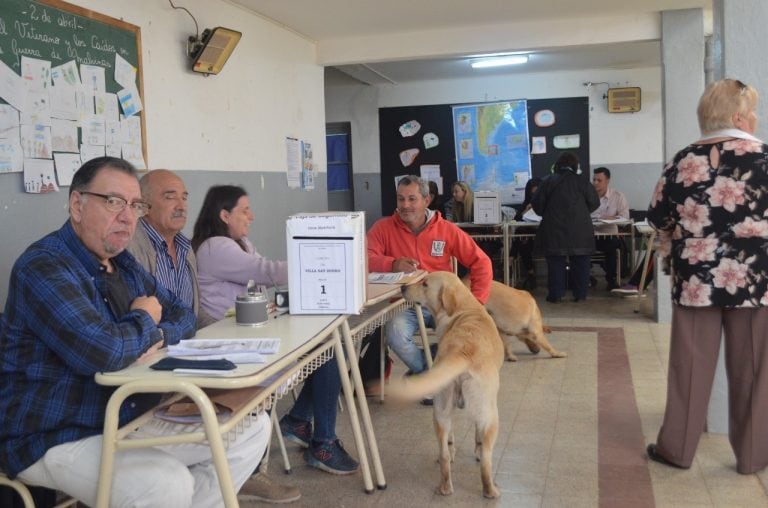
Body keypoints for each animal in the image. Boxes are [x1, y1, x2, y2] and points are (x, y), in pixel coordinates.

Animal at [390, 272, 504, 498]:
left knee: (443, 453)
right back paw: (490, 490)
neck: (463, 308)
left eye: (425, 283)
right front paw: (477, 450)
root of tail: (462, 352)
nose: (403, 288)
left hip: (440, 411)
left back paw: (445, 486)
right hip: (490, 415)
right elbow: (478, 438)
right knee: (486, 460)